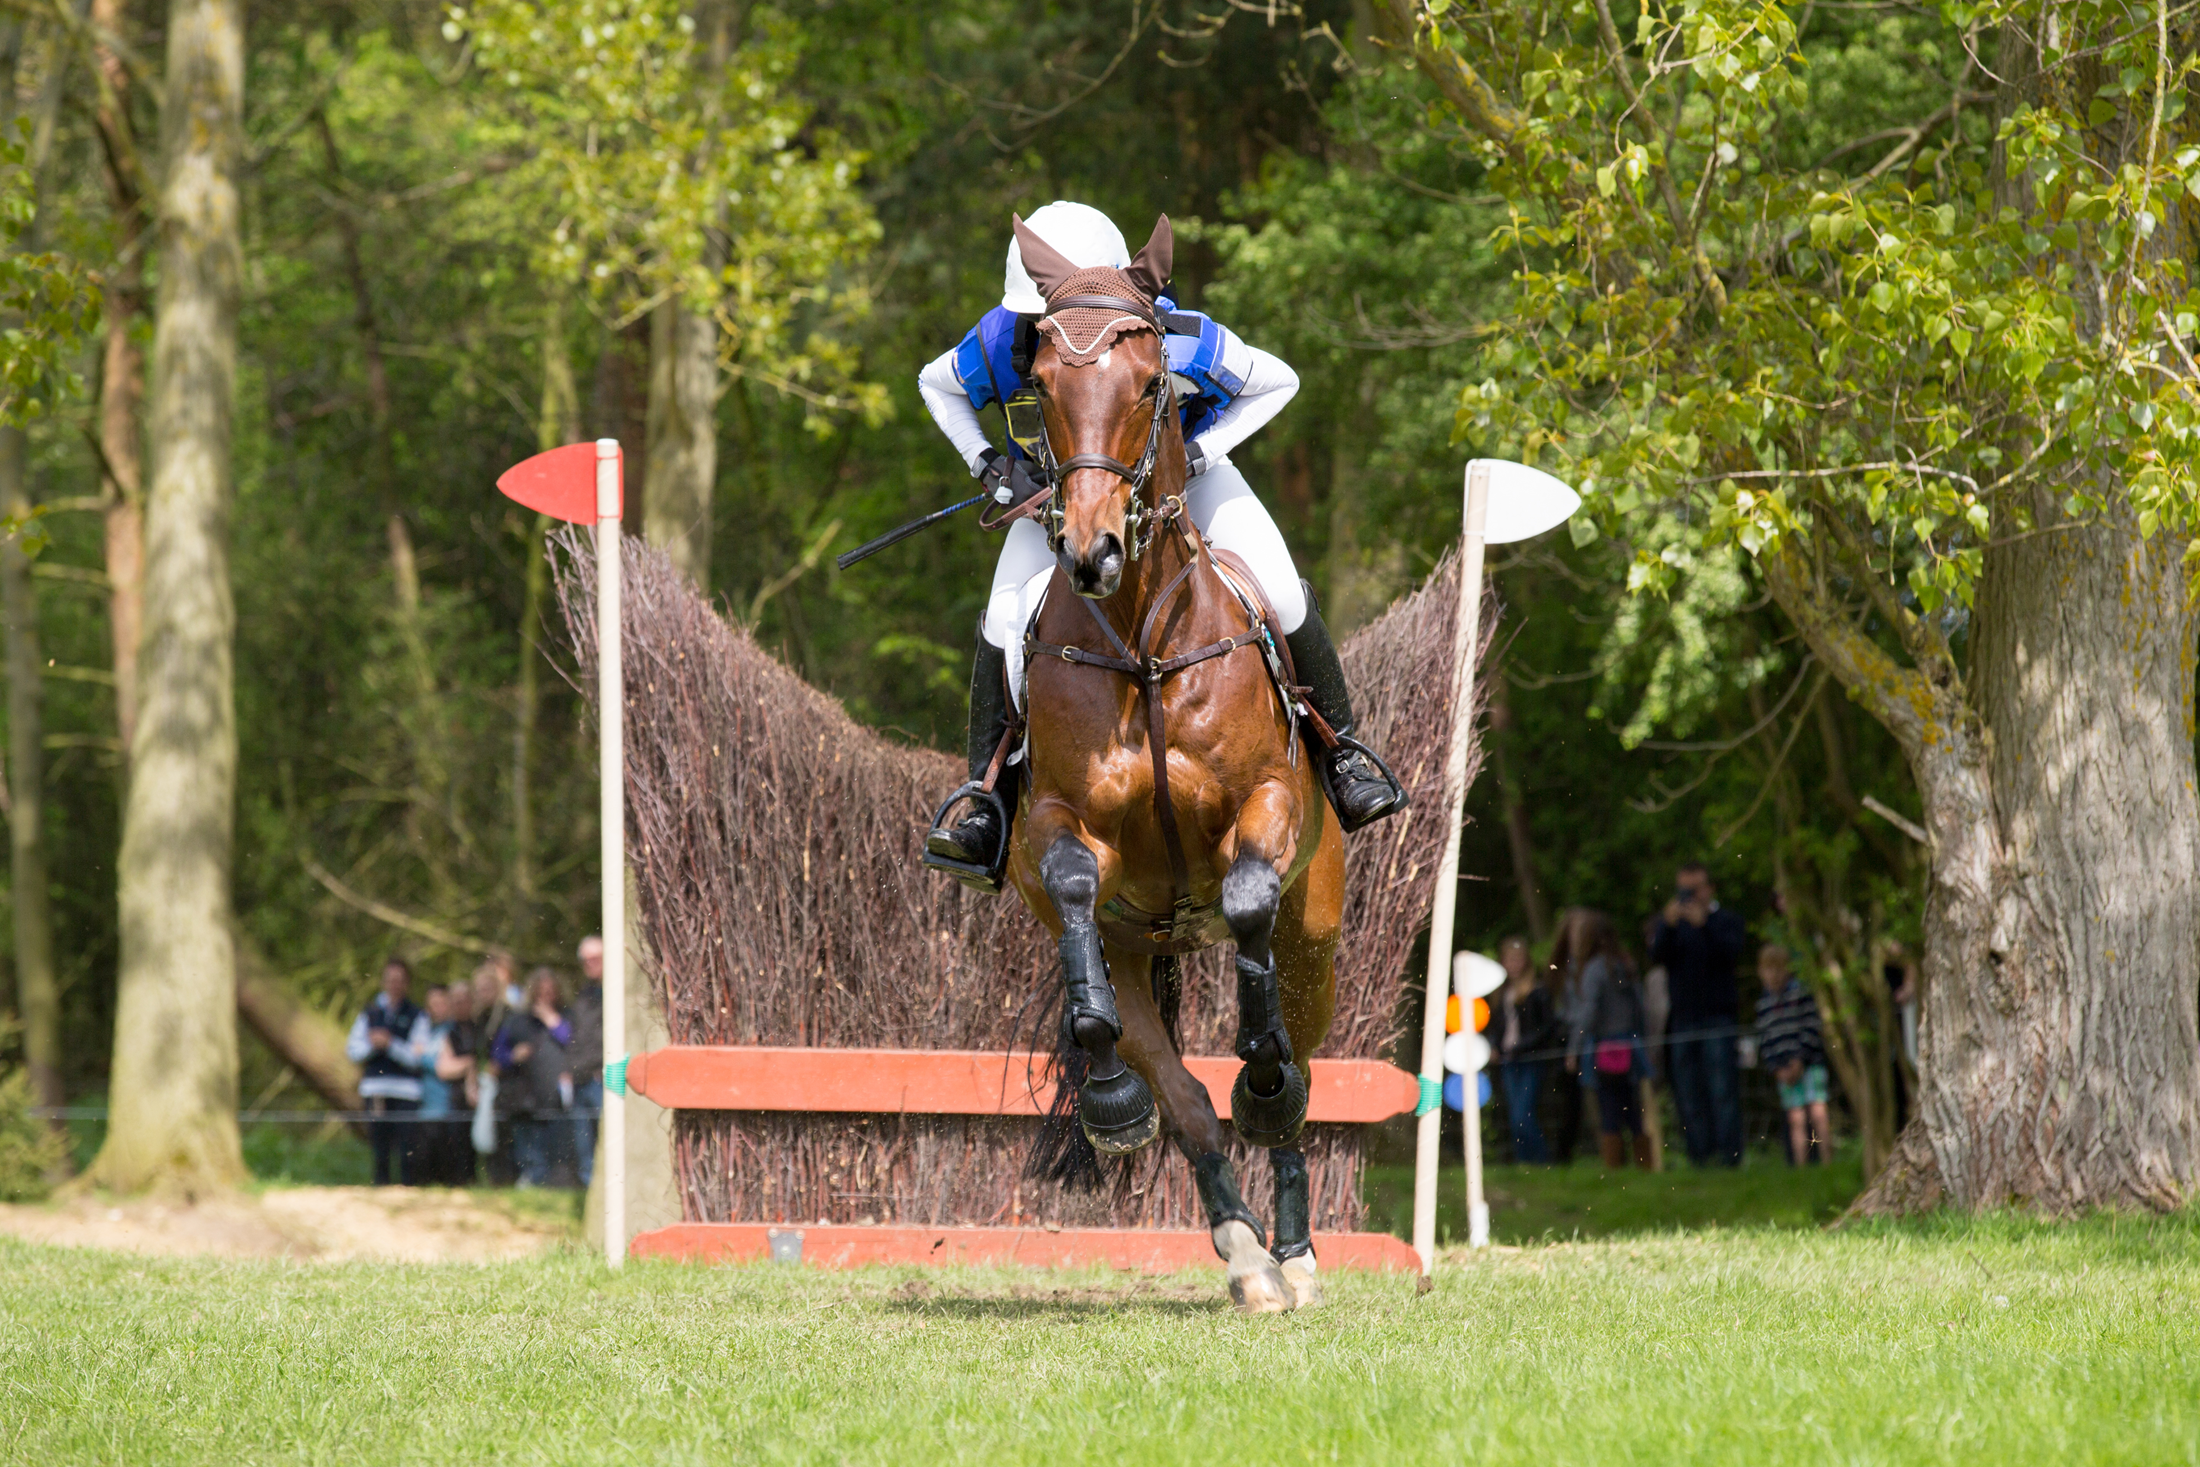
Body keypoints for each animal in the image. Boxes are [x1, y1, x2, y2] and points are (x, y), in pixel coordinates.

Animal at [998, 212, 1337, 1310]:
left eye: (1152, 382)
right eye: (1038, 387)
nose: (1091, 552)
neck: (1144, 641)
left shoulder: (1265, 807)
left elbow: (1246, 902)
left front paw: (1263, 1084)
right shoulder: (1062, 832)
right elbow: (1070, 880)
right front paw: (1109, 1099)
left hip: (1318, 933)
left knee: (1299, 1052)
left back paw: (1293, 1247)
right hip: (1134, 950)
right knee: (1182, 1096)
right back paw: (1244, 1254)